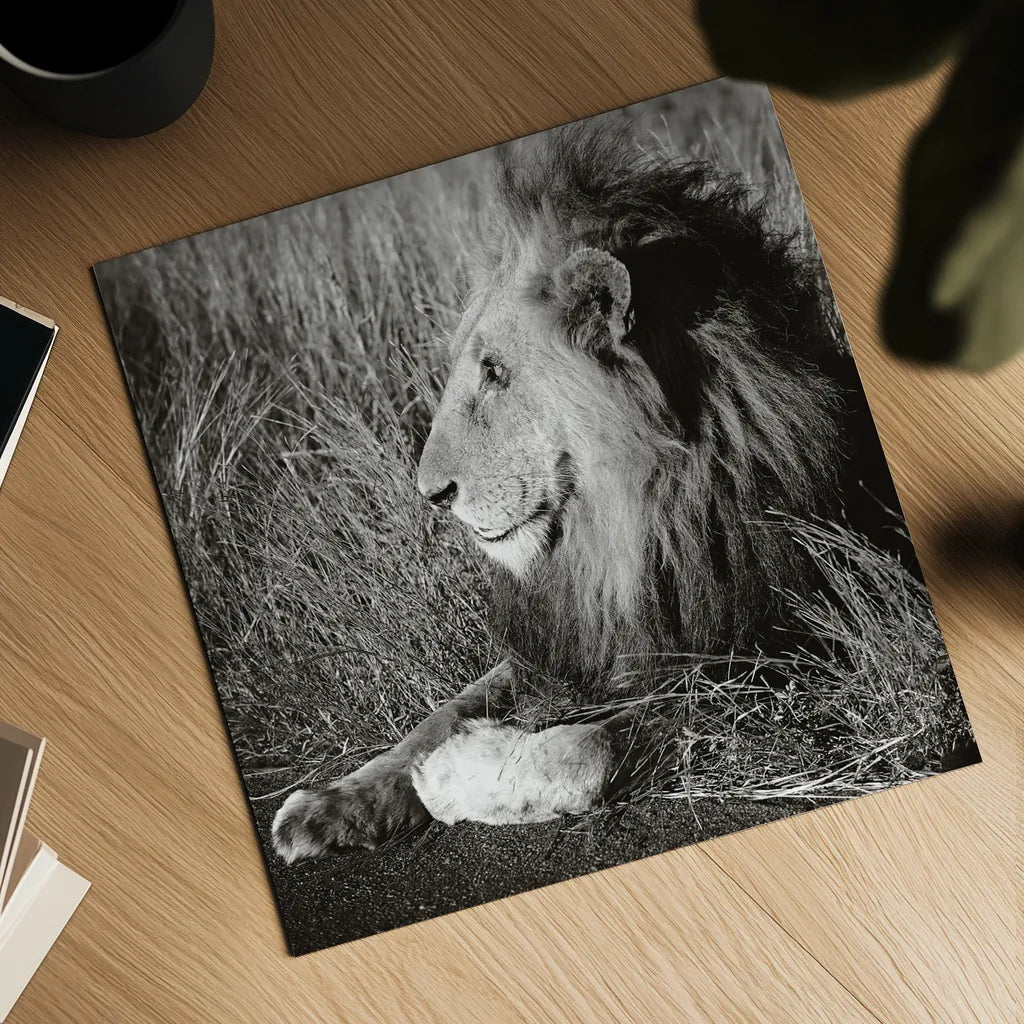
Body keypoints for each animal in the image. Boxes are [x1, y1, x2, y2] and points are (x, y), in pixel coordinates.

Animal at [273, 120, 883, 862]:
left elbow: (590, 746)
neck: (632, 523)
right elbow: (438, 713)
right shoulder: (566, 644)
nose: (431, 494)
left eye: (496, 371)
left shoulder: (775, 661)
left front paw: (449, 774)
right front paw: (330, 802)